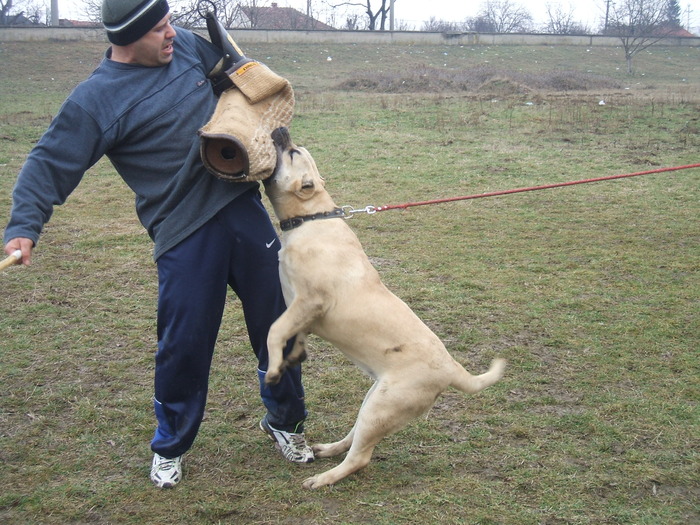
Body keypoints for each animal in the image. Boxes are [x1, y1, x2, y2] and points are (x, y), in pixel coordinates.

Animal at [262, 127, 504, 488]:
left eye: (292, 153)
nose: (280, 130)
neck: (310, 219)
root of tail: (453, 370)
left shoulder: (309, 300)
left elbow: (274, 331)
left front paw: (275, 370)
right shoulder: (301, 308)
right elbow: (294, 334)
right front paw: (294, 356)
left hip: (381, 408)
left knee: (359, 458)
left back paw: (324, 478)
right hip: (374, 401)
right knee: (354, 440)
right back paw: (329, 450)